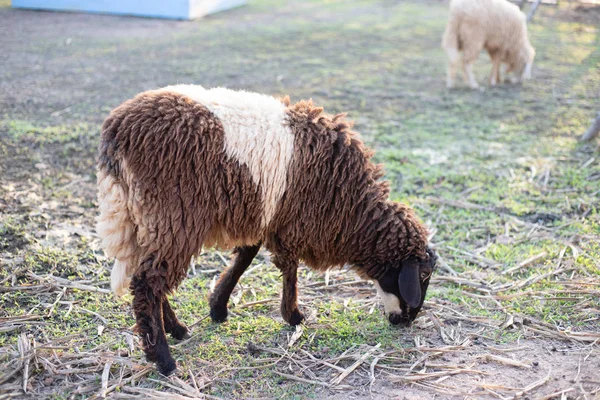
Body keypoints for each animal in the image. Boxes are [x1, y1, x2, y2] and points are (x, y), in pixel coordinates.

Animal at [97, 85, 436, 376]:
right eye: (422, 275)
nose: (408, 320)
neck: (352, 208)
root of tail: (116, 131)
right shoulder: (292, 223)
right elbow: (290, 269)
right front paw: (294, 316)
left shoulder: (264, 216)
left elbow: (245, 257)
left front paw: (218, 308)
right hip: (174, 215)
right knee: (147, 283)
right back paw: (163, 359)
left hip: (149, 218)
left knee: (147, 276)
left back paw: (176, 330)